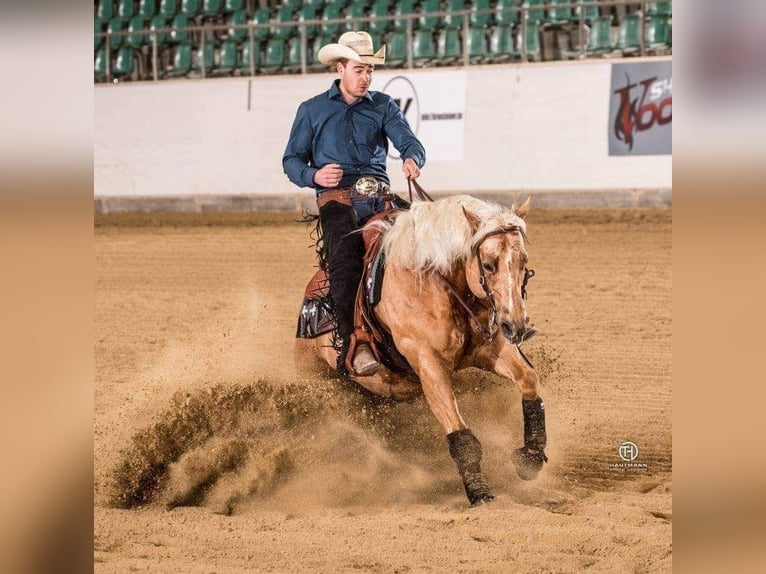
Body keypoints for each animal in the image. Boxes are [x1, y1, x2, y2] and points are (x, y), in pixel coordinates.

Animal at [298, 196, 544, 506]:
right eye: (488, 265)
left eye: (524, 262)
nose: (516, 326)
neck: (434, 280)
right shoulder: (430, 366)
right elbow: (460, 434)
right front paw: (480, 493)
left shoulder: (491, 350)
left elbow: (529, 381)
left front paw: (531, 457)